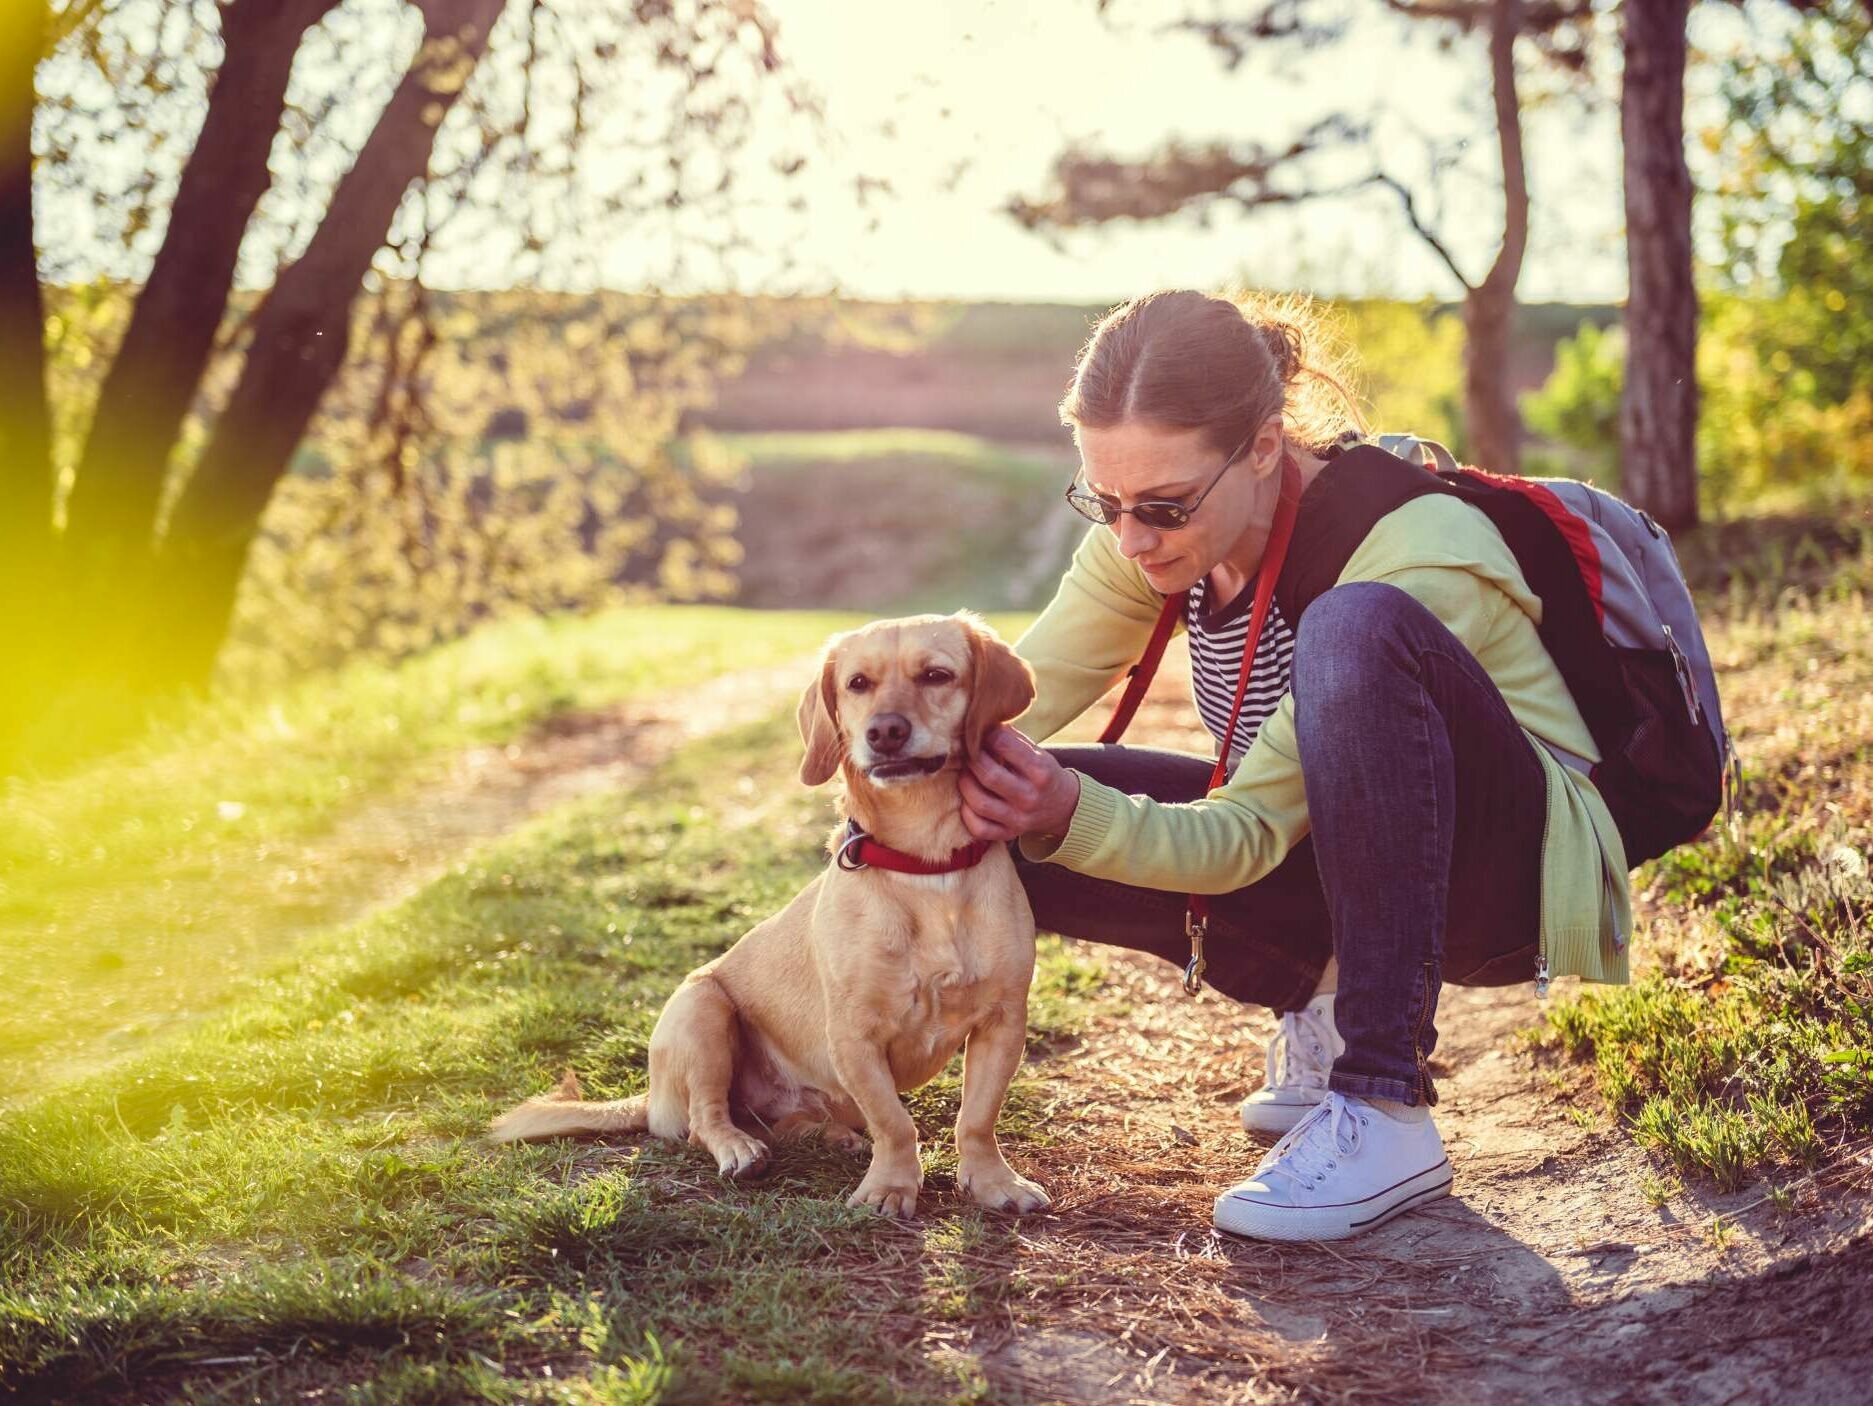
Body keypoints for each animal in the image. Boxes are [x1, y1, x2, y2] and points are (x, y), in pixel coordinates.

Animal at [494, 614, 1056, 1220]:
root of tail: (651, 1097)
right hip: (703, 1009)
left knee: (793, 1123)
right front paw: (891, 1186)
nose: (884, 731)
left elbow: (976, 1118)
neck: (925, 866)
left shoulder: (1003, 1022)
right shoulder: (854, 1037)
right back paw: (740, 1148)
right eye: (858, 684)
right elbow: (895, 1123)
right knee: (706, 1120)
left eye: (936, 675)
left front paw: (992, 1181)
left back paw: (828, 1136)